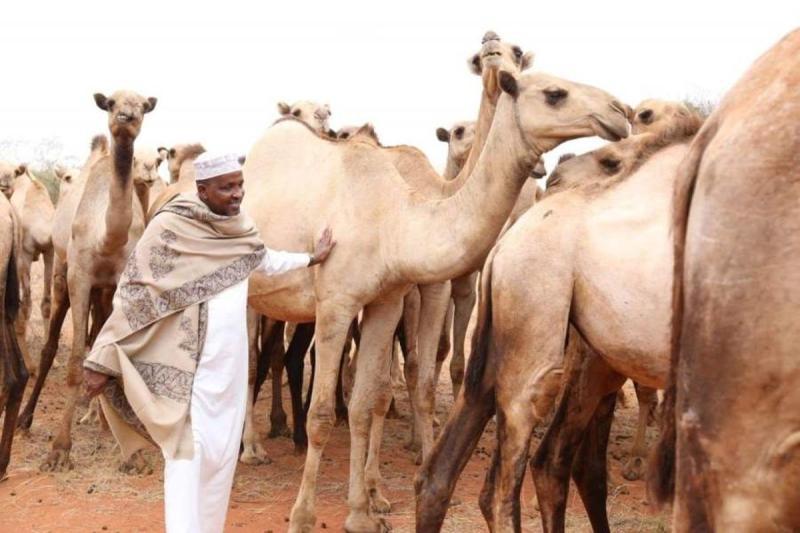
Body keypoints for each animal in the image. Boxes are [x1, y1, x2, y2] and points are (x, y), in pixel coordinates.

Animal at [18, 90, 157, 472]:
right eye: (112, 103)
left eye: (143, 106)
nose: (126, 118)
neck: (106, 237)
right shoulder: (79, 278)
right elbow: (75, 359)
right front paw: (59, 450)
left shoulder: (119, 283)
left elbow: (109, 354)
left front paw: (131, 451)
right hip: (62, 274)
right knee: (52, 346)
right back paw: (25, 420)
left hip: (103, 292)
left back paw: (104, 424)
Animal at [242, 32, 628, 532]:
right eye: (554, 93)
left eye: (515, 52)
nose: (619, 111)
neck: (397, 219)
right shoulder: (336, 303)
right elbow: (323, 414)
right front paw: (303, 518)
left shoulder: (385, 300)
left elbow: (365, 402)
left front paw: (361, 513)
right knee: (246, 364)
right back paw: (249, 452)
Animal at [414, 108, 702, 532]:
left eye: (611, 161)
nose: (553, 176)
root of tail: (503, 247)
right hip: (540, 325)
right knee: (523, 468)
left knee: (446, 467)